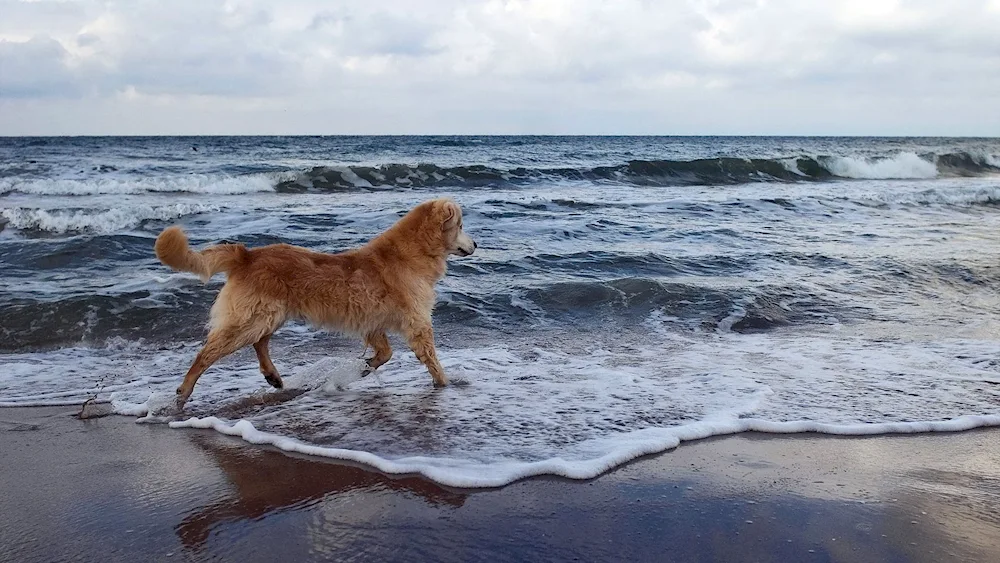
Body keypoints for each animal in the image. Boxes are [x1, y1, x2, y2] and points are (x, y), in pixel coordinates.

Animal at [152, 198, 476, 406]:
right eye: (461, 226)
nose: (476, 244)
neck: (411, 253)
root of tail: (247, 255)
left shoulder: (373, 323)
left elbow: (385, 354)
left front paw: (363, 367)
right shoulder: (417, 322)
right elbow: (430, 358)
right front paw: (445, 384)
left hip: (270, 314)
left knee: (260, 342)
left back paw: (273, 377)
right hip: (251, 318)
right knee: (207, 353)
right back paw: (184, 391)